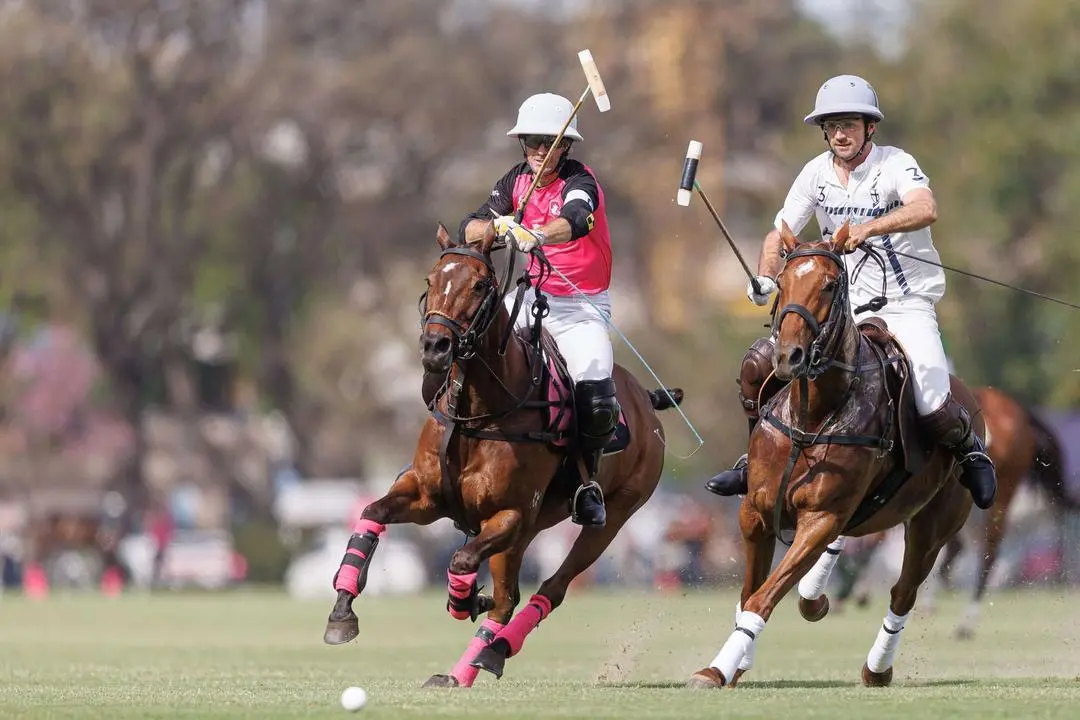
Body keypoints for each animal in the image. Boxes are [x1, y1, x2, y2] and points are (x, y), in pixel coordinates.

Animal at [317, 223, 682, 686]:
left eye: (479, 285)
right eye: (430, 281)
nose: (435, 347)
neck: (479, 411)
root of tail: (646, 399)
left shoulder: (510, 513)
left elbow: (461, 560)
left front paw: (466, 599)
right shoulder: (426, 496)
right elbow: (371, 514)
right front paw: (341, 614)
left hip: (613, 516)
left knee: (547, 590)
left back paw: (491, 652)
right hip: (529, 531)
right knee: (509, 596)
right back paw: (462, 670)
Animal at [691, 222, 980, 690]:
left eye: (829, 285)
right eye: (782, 282)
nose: (788, 357)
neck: (813, 413)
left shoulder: (820, 517)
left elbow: (763, 597)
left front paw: (718, 668)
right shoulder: (755, 511)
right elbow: (750, 592)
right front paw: (734, 665)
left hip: (934, 523)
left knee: (903, 592)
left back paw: (877, 668)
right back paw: (816, 599)